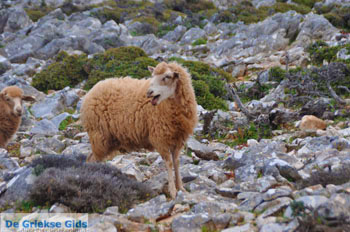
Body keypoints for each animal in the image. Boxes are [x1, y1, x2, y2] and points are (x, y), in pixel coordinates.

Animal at [80, 62, 198, 199]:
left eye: (167, 77)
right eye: (152, 76)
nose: (149, 93)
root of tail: (91, 91)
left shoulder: (178, 139)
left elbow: (177, 163)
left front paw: (181, 188)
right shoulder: (160, 138)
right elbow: (169, 164)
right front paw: (173, 191)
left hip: (107, 140)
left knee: (92, 158)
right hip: (99, 135)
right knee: (92, 160)